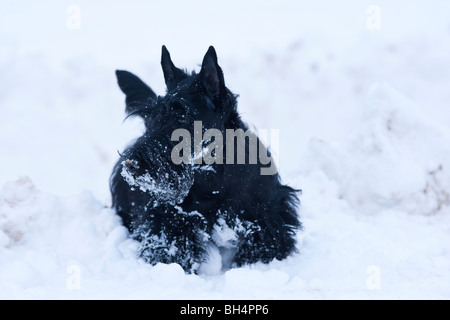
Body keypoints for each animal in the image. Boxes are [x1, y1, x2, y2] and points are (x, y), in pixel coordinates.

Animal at [110, 46, 302, 274]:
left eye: (182, 116)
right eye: (152, 117)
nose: (132, 165)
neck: (212, 177)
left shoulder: (267, 215)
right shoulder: (169, 219)